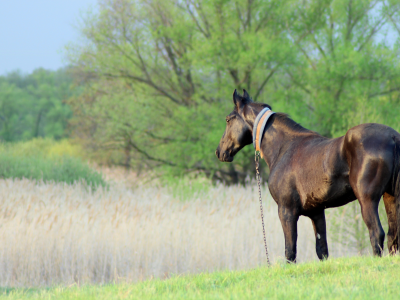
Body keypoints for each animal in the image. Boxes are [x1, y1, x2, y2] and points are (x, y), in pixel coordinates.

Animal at [216, 89, 400, 262]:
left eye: (228, 119)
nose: (220, 152)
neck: (284, 148)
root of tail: (393, 137)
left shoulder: (286, 211)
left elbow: (290, 252)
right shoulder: (316, 212)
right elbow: (322, 250)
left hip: (367, 200)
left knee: (377, 233)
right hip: (390, 197)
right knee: (393, 236)